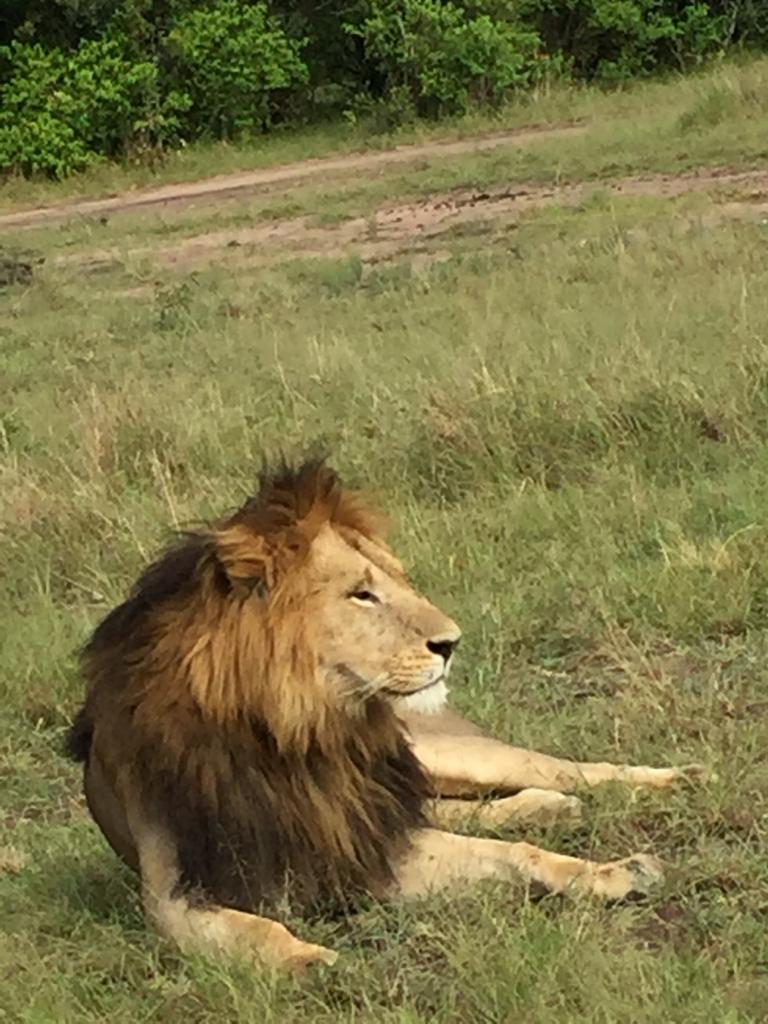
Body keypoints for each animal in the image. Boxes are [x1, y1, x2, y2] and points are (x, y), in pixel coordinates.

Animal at [66, 457, 703, 971]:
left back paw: (675, 778)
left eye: (397, 582)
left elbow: (516, 855)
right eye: (362, 593)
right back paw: (550, 808)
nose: (451, 642)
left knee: (560, 770)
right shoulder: (177, 893)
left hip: (450, 752)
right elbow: (257, 930)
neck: (300, 734)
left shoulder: (371, 844)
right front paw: (313, 963)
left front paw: (619, 872)